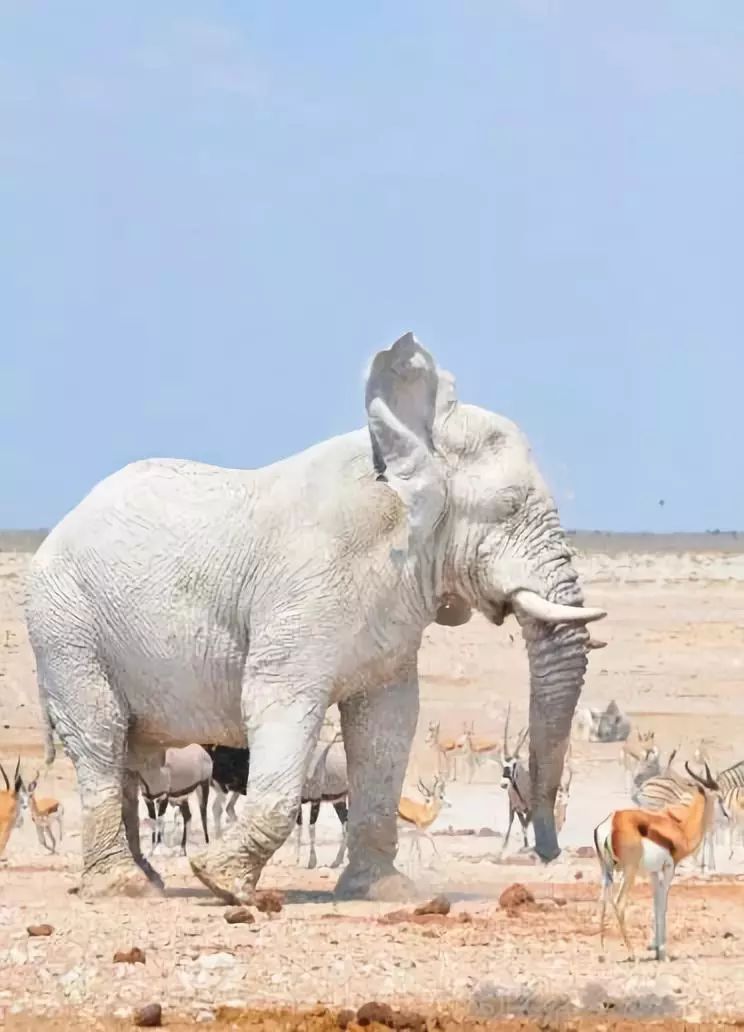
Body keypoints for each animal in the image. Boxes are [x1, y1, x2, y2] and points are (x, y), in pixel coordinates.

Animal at [24, 332, 602, 904]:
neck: (403, 464)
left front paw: (382, 890)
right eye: (509, 506)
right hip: (65, 626)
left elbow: (388, 723)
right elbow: (278, 699)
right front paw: (221, 882)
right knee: (101, 739)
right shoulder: (305, 589)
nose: (547, 851)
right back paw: (123, 887)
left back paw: (146, 880)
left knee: (127, 754)